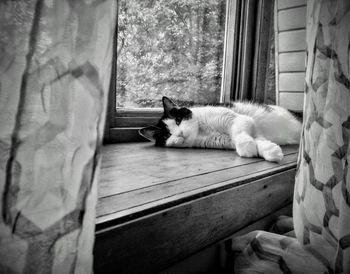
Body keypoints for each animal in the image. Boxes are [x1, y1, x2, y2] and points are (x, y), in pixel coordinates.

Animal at [139, 96, 300, 162]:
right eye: (167, 135)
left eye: (178, 121)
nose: (180, 133)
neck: (202, 130)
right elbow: (258, 140)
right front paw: (270, 151)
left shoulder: (239, 119)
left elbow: (241, 134)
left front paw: (248, 147)